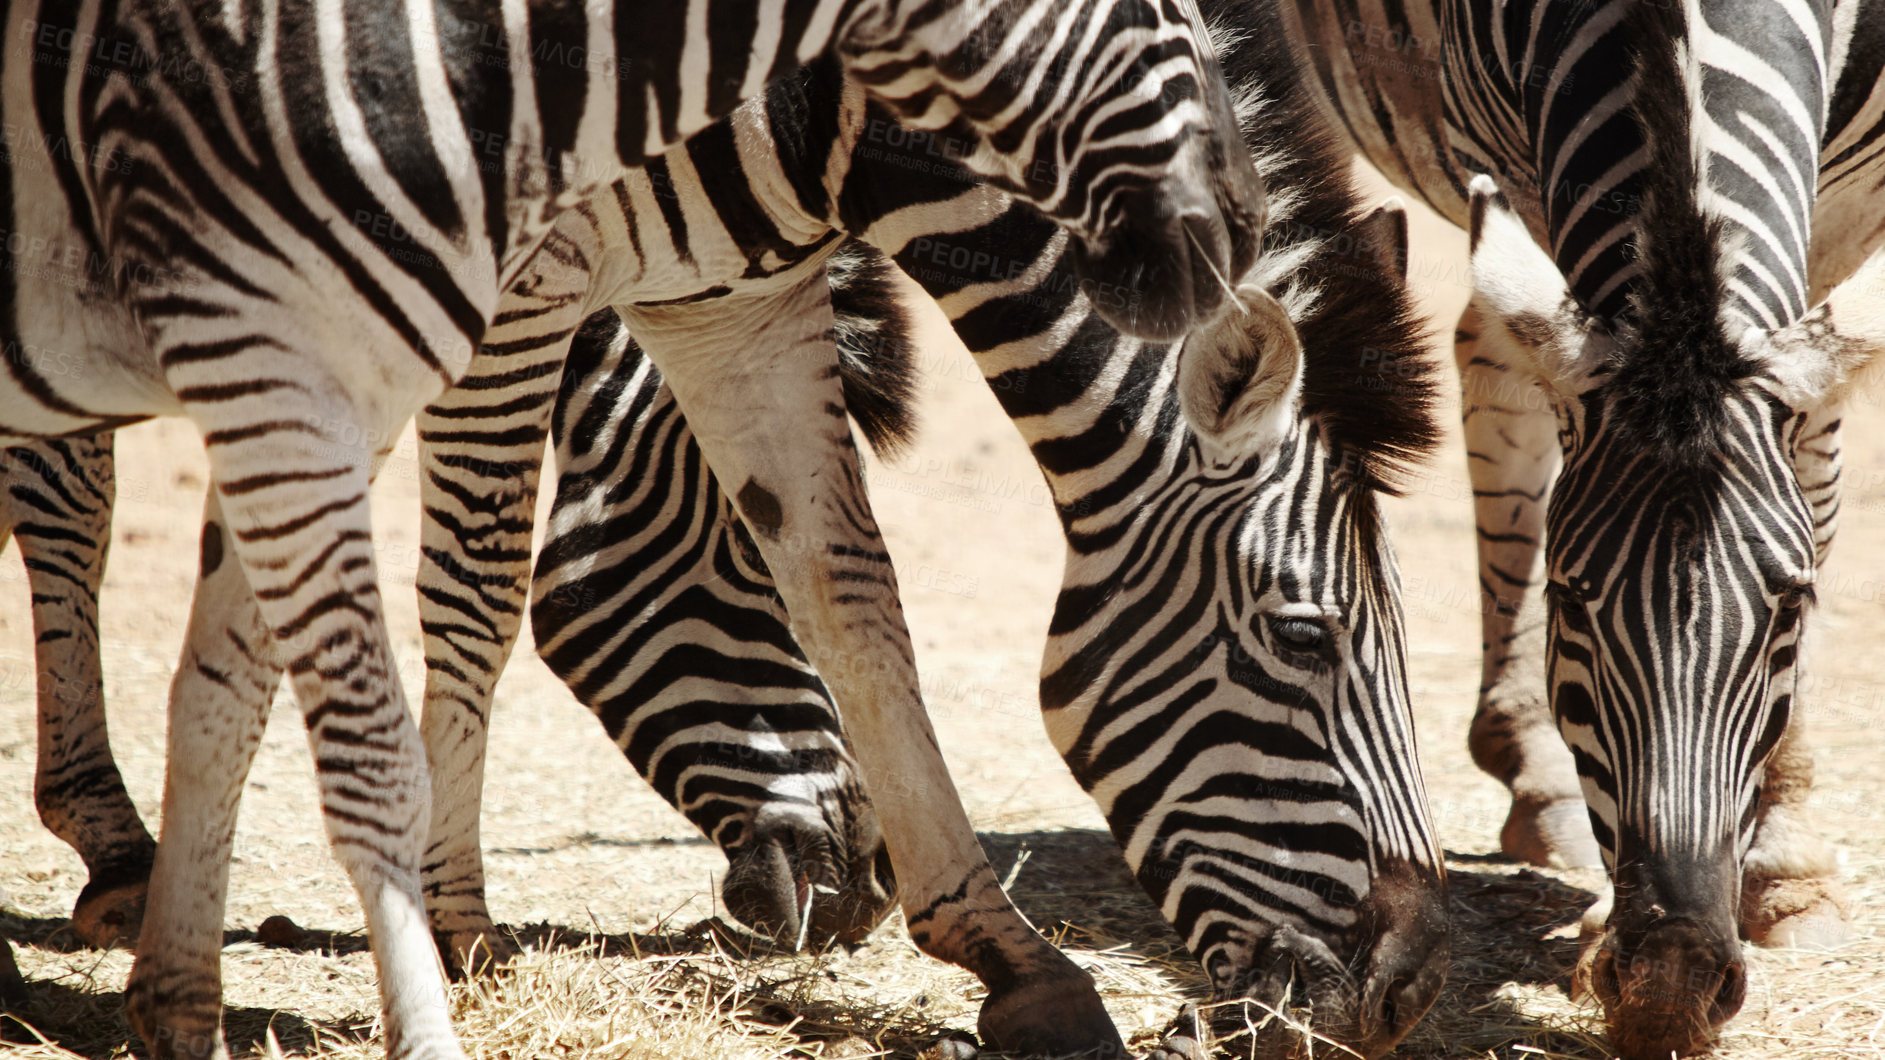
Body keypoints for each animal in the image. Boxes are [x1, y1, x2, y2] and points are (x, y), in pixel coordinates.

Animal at [1289, 0, 1885, 1048]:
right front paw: (1608, 922)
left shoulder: (1849, 201)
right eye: (1570, 601)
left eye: (1793, 609)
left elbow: (1812, 468)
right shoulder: (1516, 159)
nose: (1670, 987)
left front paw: (1786, 868)